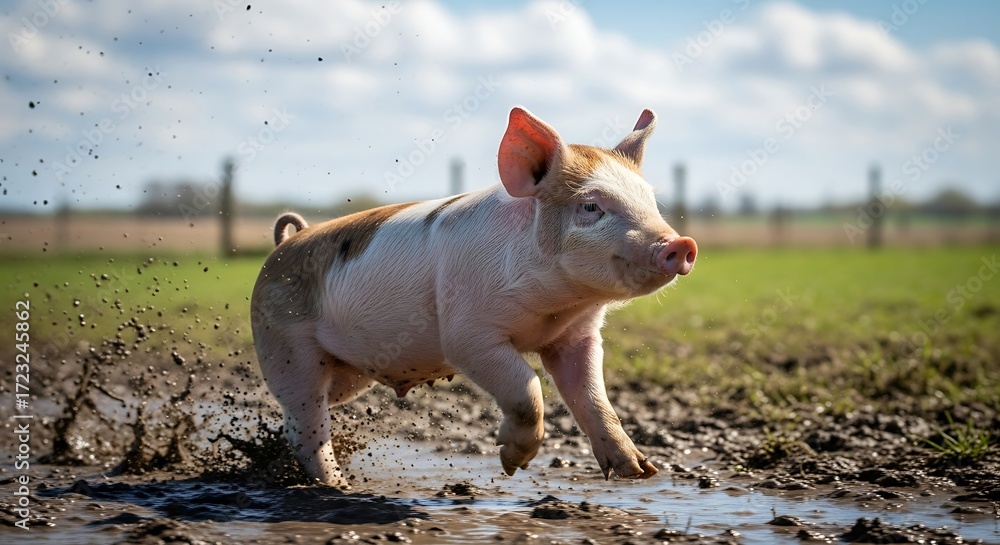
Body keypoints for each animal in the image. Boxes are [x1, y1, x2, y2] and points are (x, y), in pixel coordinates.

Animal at [250, 107, 697, 486]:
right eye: (590, 206)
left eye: (651, 201)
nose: (681, 244)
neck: (554, 309)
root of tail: (284, 244)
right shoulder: (467, 334)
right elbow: (526, 387)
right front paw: (511, 465)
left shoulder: (577, 337)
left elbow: (593, 398)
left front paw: (639, 472)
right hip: (286, 348)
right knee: (306, 423)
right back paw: (337, 487)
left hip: (350, 372)